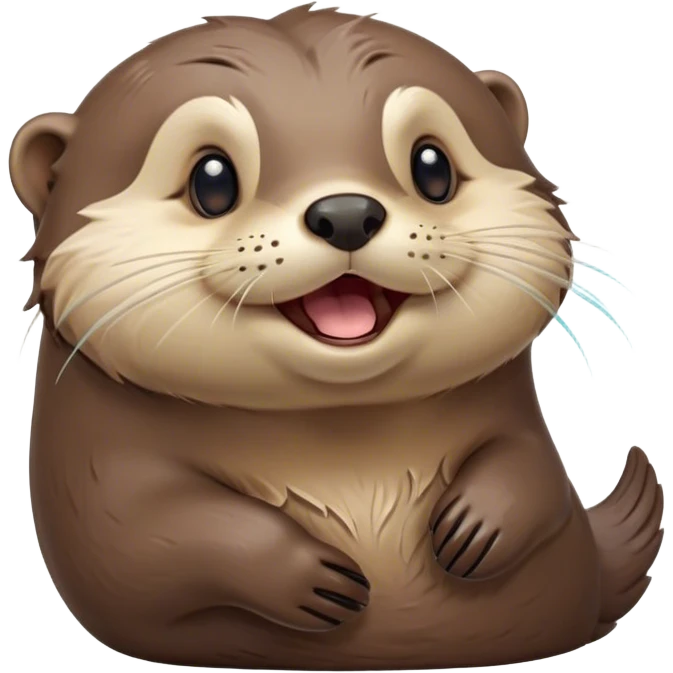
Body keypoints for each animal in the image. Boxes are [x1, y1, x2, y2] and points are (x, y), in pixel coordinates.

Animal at [13, 5, 663, 670]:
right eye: (211, 181)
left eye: (433, 167)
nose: (346, 213)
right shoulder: (95, 471)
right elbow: (152, 529)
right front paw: (312, 579)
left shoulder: (520, 424)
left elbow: (531, 467)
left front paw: (474, 527)